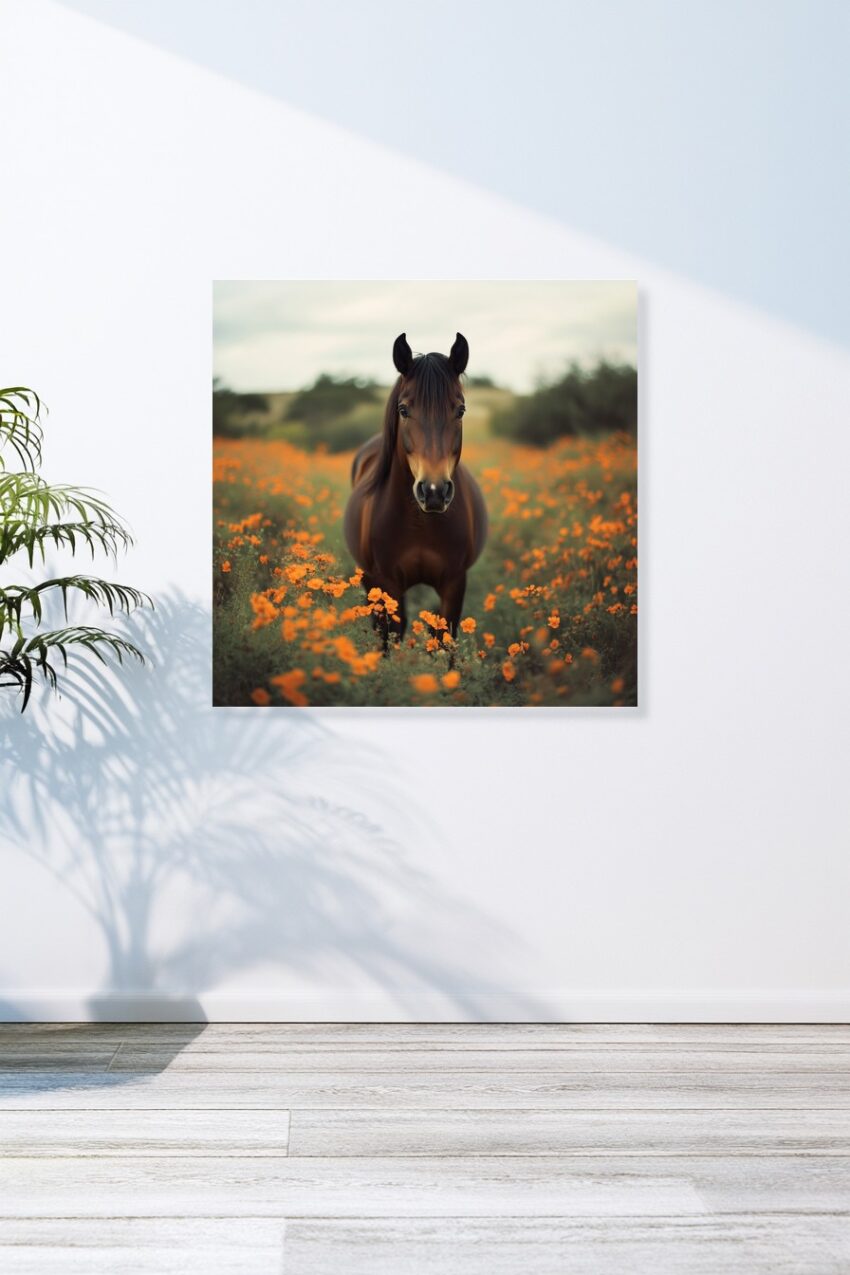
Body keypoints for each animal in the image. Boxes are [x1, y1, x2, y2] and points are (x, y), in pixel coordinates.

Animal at [343, 332, 488, 645]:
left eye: (460, 410)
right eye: (403, 409)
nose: (434, 492)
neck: (421, 523)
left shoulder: (454, 583)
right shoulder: (386, 585)